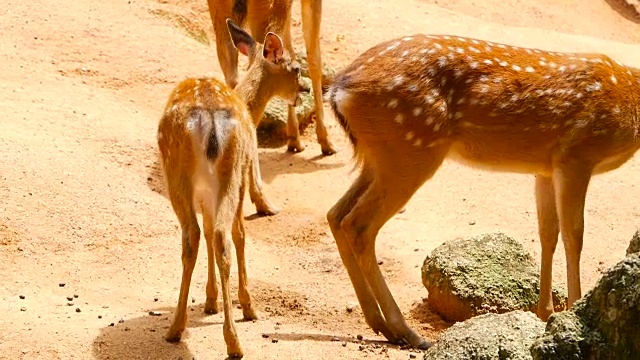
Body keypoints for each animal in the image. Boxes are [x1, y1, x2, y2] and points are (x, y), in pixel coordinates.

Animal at [157, 19, 302, 358]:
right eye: (297, 68)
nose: (303, 93)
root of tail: (209, 117)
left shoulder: (206, 194)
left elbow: (211, 232)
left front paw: (210, 302)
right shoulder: (246, 170)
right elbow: (240, 233)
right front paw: (246, 307)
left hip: (189, 177)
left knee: (197, 235)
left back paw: (180, 328)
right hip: (229, 172)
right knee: (223, 235)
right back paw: (230, 338)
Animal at [208, 0, 338, 155]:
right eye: (297, 70)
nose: (306, 90)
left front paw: (294, 140)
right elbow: (313, 59)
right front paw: (326, 142)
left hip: (220, 9)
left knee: (231, 67)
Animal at [324, 33, 640, 348]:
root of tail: (339, 91)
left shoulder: (545, 168)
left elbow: (548, 233)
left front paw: (545, 313)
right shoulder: (577, 155)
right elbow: (574, 236)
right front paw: (573, 309)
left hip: (381, 157)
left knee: (336, 214)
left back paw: (379, 323)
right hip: (410, 151)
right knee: (358, 225)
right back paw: (406, 331)